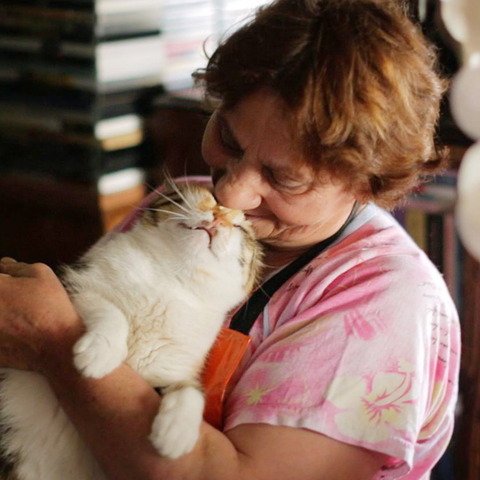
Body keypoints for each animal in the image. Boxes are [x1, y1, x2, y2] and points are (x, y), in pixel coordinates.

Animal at [0, 181, 263, 480]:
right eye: (213, 198)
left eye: (240, 227)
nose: (218, 219)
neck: (171, 280)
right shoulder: (74, 284)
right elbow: (112, 313)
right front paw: (98, 355)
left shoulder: (173, 367)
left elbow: (190, 390)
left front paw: (175, 435)